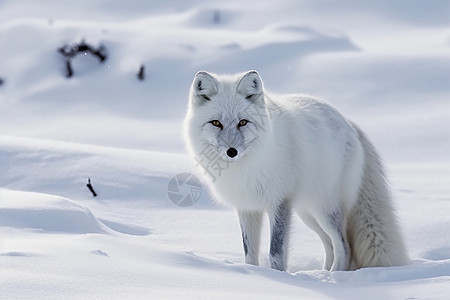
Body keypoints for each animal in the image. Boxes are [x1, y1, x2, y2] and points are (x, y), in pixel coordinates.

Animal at [182, 70, 408, 272]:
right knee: (330, 245)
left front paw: (279, 278)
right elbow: (249, 253)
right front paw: (253, 275)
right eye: (216, 123)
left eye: (243, 122)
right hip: (307, 214)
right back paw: (321, 273)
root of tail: (348, 122)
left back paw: (332, 276)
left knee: (344, 246)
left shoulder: (279, 203)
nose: (232, 152)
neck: (246, 167)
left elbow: (275, 253)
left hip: (325, 209)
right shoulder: (247, 207)